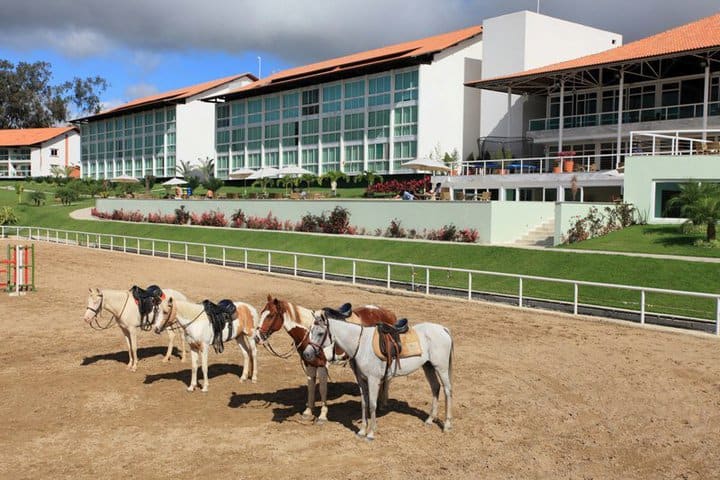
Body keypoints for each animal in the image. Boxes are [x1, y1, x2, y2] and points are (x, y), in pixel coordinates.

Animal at [306, 314, 456, 440]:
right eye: (310, 330)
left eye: (320, 333)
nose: (306, 354)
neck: (361, 345)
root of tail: (443, 329)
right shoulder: (361, 381)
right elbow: (364, 404)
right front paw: (362, 431)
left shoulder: (373, 380)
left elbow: (372, 404)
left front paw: (371, 433)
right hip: (428, 366)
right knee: (435, 387)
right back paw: (430, 419)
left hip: (441, 368)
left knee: (447, 390)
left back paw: (447, 425)